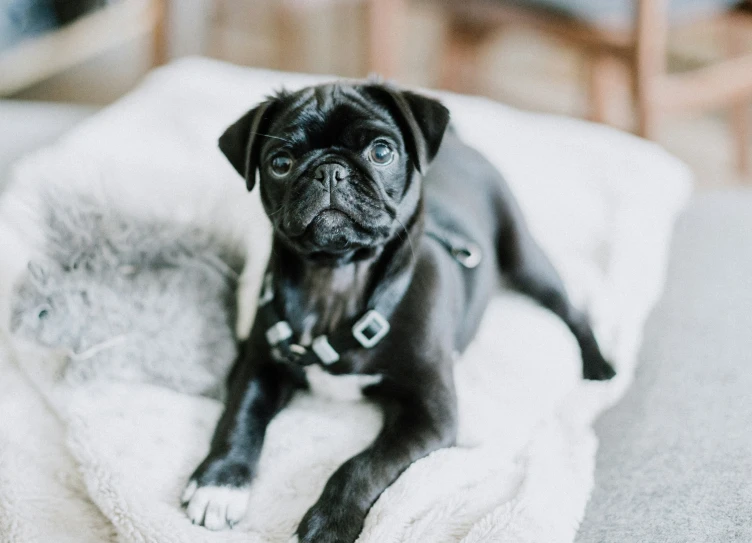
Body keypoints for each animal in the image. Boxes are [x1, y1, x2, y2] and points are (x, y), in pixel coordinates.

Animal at [182, 82, 616, 543]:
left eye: (381, 152)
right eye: (280, 163)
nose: (329, 170)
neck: (337, 279)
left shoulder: (430, 414)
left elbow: (362, 465)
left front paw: (329, 522)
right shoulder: (260, 364)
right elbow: (239, 417)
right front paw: (219, 483)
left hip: (523, 256)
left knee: (569, 309)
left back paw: (598, 366)